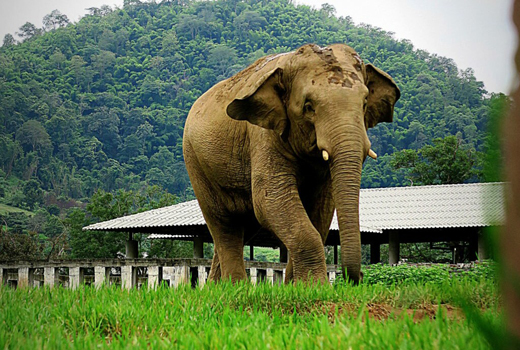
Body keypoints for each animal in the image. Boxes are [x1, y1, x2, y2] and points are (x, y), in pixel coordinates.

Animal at [185, 43, 400, 284]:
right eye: (309, 106)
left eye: (364, 103)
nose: (357, 277)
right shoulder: (263, 136)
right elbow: (270, 200)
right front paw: (315, 286)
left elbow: (321, 210)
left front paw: (296, 286)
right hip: (196, 164)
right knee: (225, 226)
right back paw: (235, 286)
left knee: (241, 229)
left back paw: (216, 287)